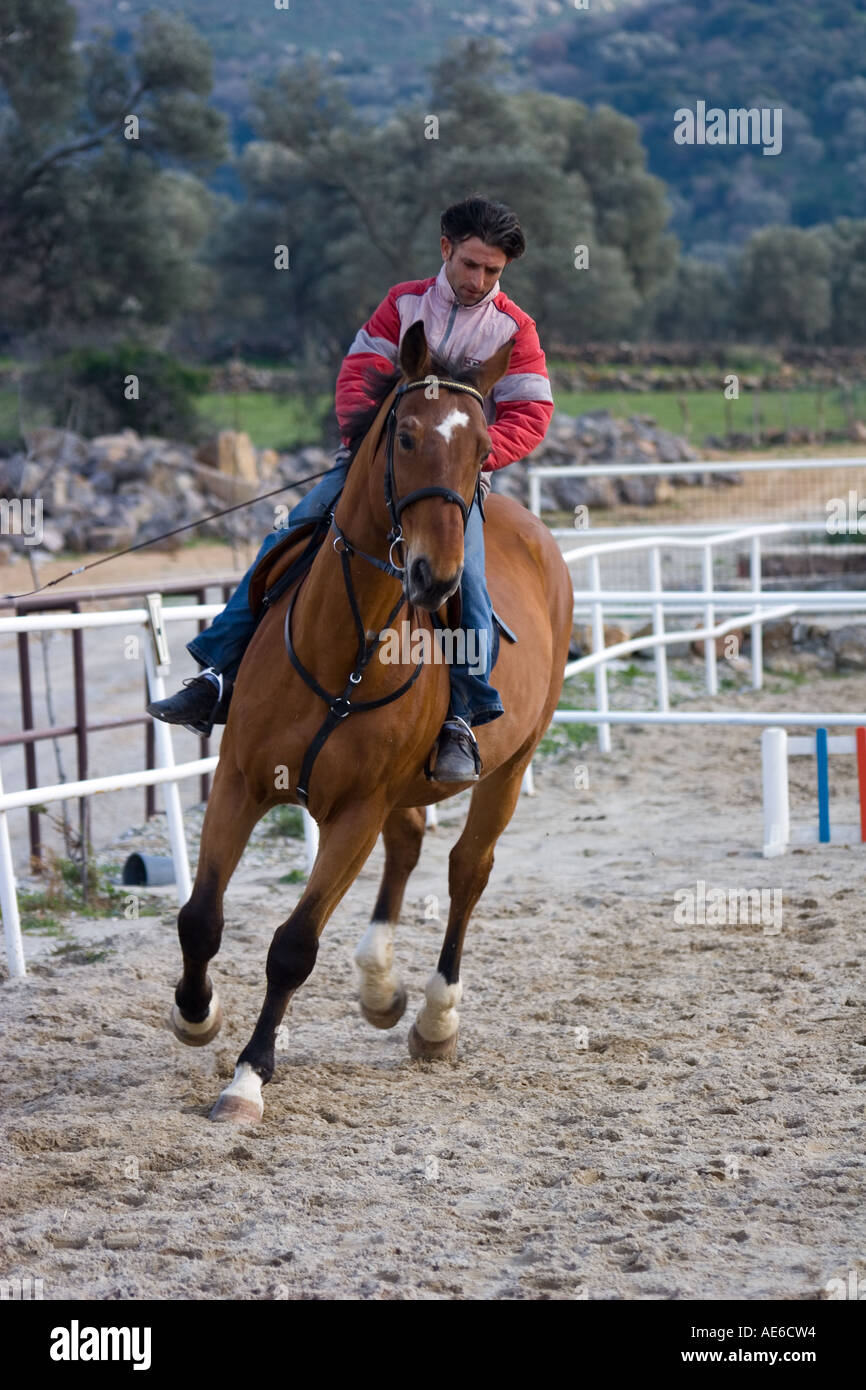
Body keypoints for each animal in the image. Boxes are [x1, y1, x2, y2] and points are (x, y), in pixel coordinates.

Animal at [169, 319, 575, 1123]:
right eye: (407, 435)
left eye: (483, 448)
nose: (435, 577)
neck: (342, 651)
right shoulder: (239, 782)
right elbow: (200, 916)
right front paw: (196, 1015)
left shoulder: (354, 812)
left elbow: (293, 946)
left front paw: (248, 1078)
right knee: (410, 843)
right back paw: (380, 985)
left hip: (508, 770)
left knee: (466, 870)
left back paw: (435, 1019)